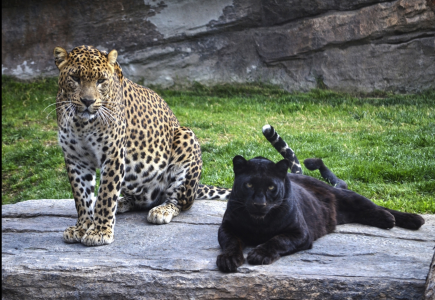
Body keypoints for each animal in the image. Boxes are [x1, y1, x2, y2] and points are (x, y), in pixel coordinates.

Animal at [52, 45, 232, 246]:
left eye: (101, 81)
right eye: (75, 78)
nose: (88, 101)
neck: (81, 124)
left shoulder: (113, 155)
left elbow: (106, 194)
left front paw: (100, 231)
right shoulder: (76, 158)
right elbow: (81, 196)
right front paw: (82, 227)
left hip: (186, 137)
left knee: (180, 202)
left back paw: (161, 210)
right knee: (137, 199)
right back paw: (122, 203)